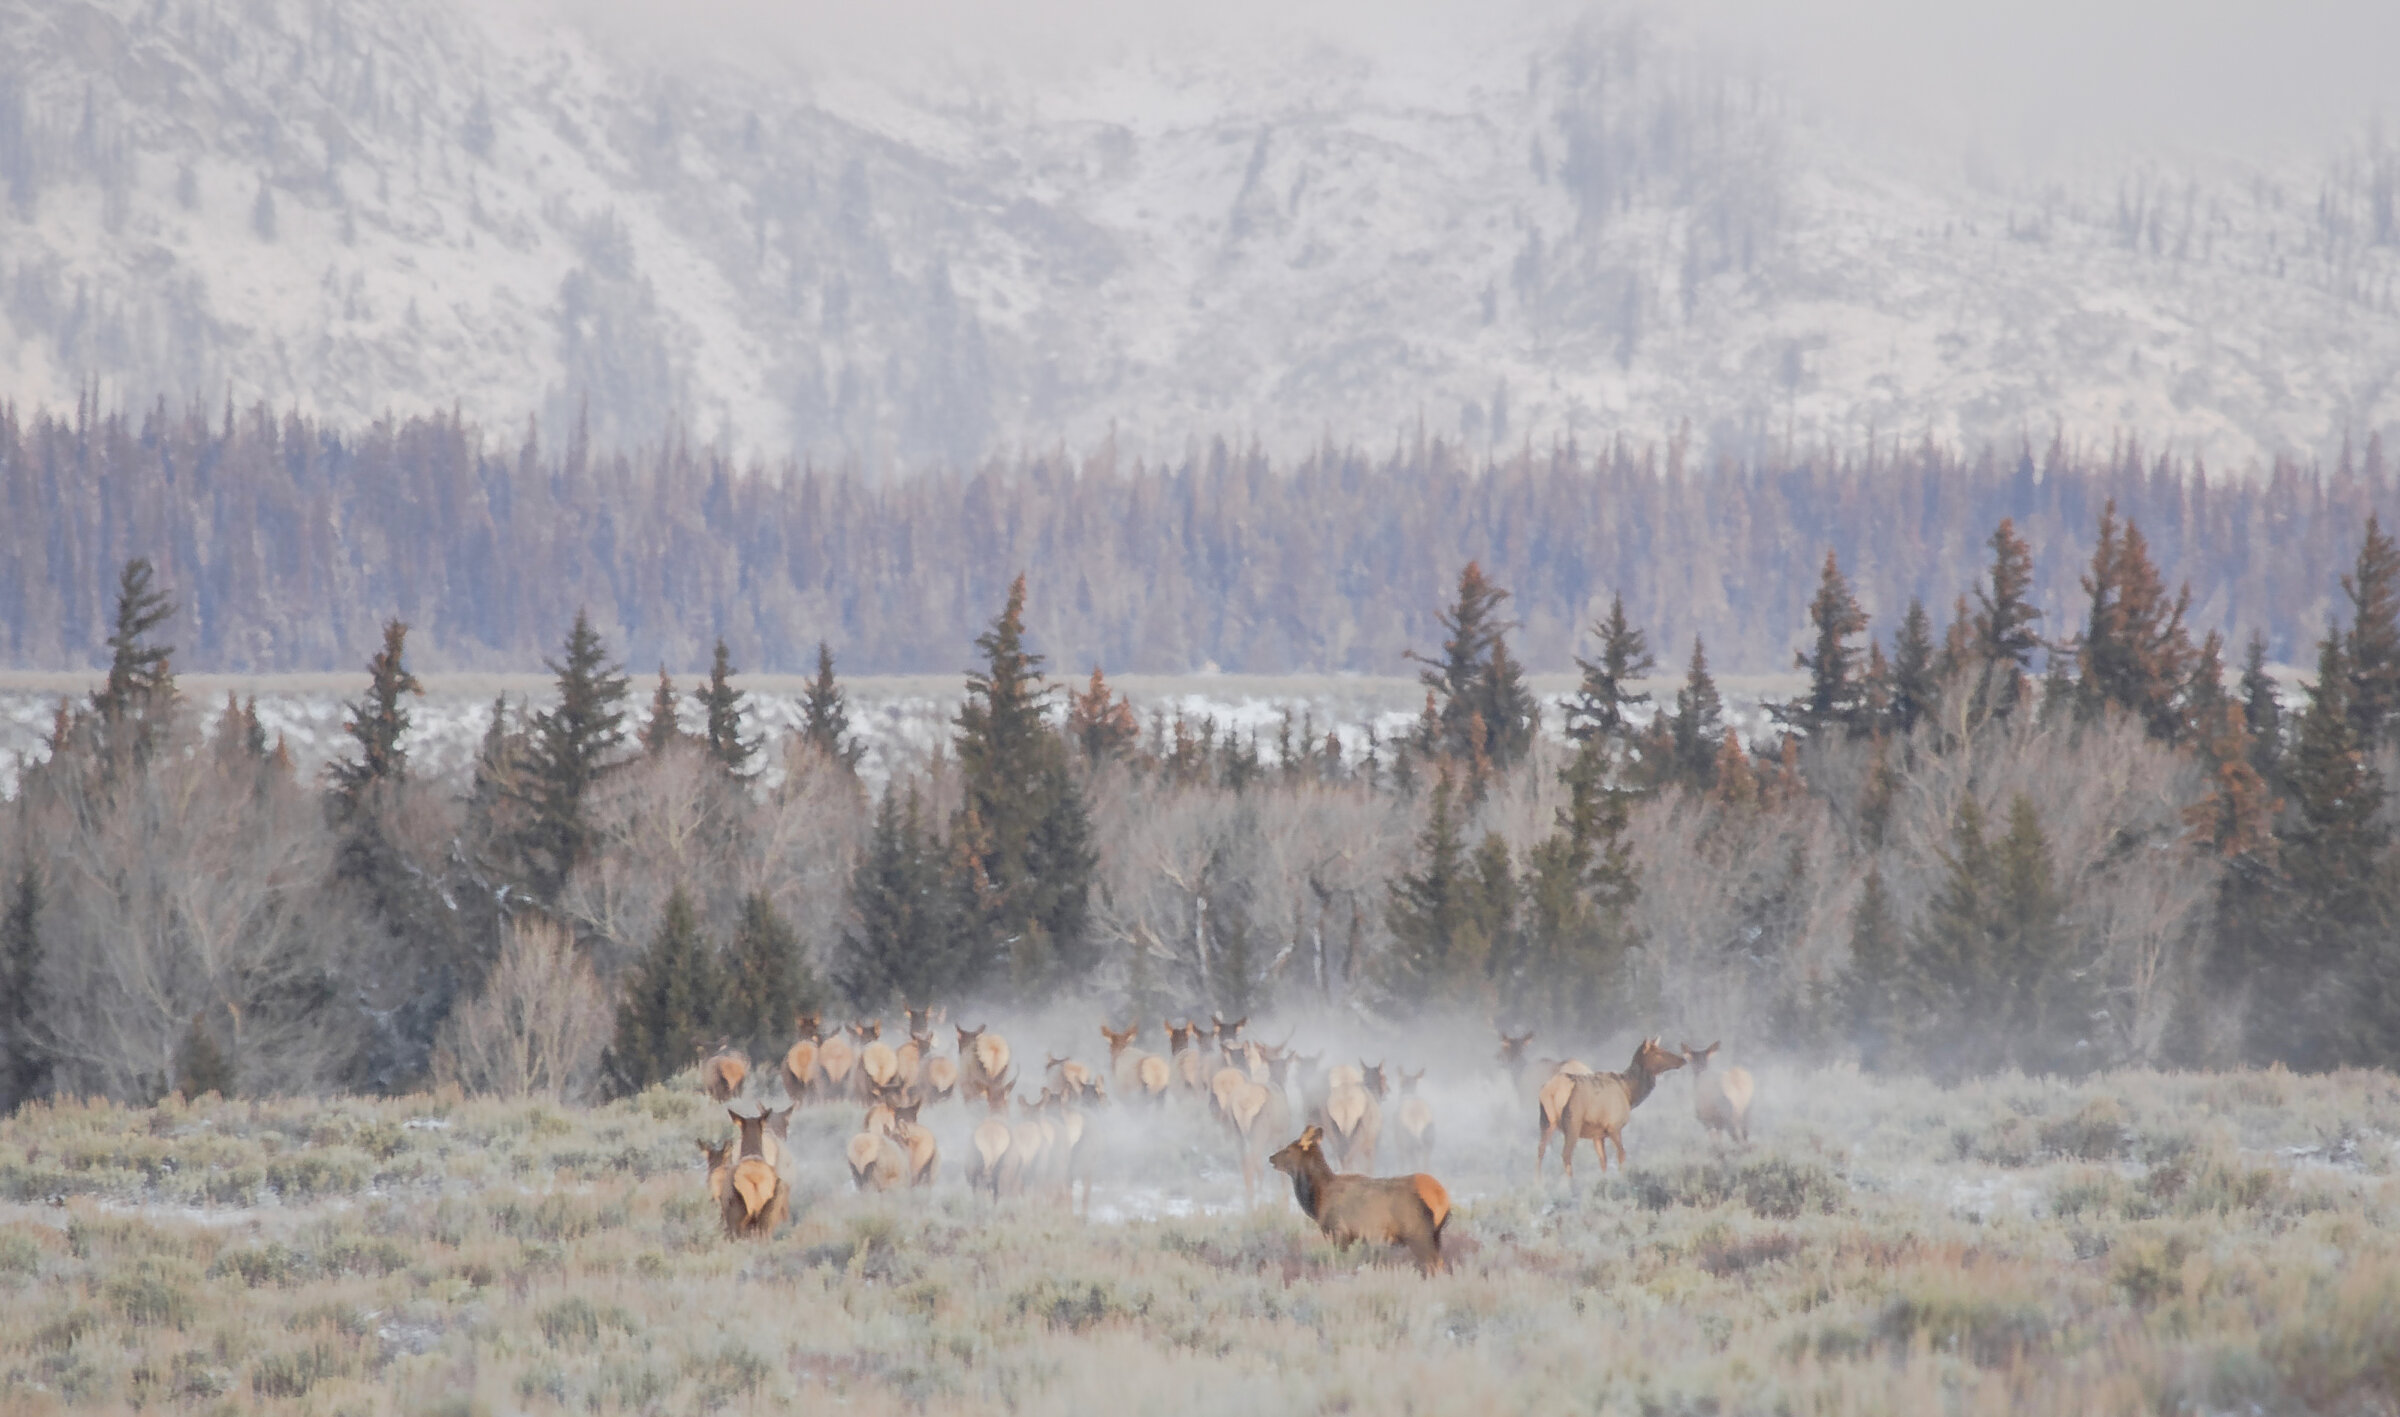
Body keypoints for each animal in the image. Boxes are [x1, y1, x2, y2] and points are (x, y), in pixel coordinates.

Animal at [1268, 1125, 1449, 1275]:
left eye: (1288, 1149)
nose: (1271, 1158)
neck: (1318, 1200)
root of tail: (1442, 1198)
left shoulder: (1338, 1231)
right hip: (1434, 1235)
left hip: (1418, 1234)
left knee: (1435, 1264)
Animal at [1551, 1038, 1685, 1180]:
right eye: (1658, 1053)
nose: (1682, 1059)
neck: (1630, 1093)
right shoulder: (1614, 1126)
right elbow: (1621, 1154)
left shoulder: (1598, 1134)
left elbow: (1603, 1159)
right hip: (1572, 1124)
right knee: (1565, 1154)